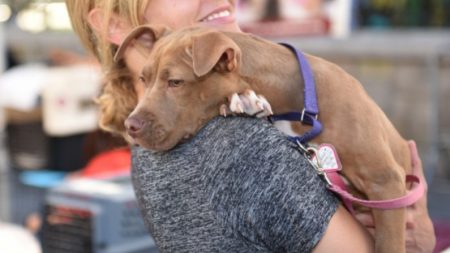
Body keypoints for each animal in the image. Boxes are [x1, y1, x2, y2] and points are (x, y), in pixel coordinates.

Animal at [116, 24, 418, 253]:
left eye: (176, 82)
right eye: (143, 79)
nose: (130, 125)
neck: (301, 102)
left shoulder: (385, 181)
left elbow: (389, 244)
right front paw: (244, 101)